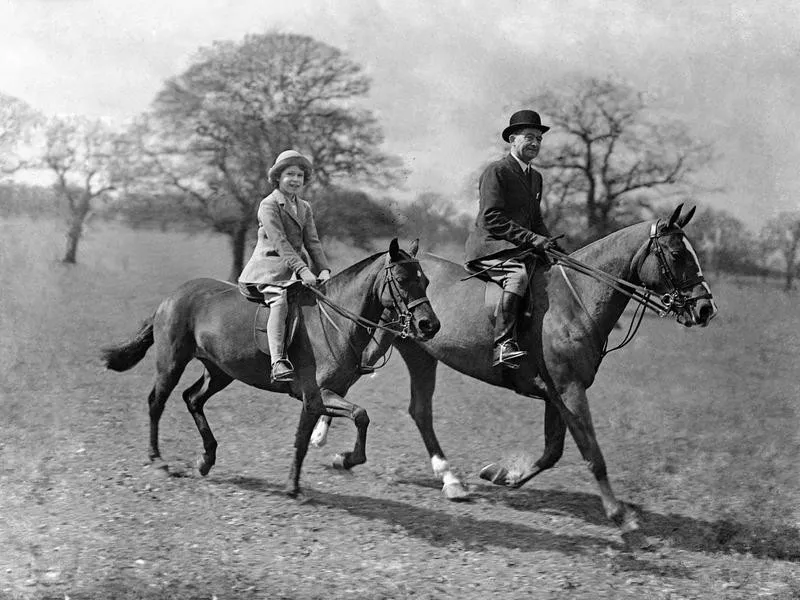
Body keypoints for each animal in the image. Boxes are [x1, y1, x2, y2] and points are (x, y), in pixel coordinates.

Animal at [100, 239, 440, 498]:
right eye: (402, 280)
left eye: (425, 281)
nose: (430, 325)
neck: (335, 322)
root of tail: (170, 298)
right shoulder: (315, 395)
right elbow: (342, 423)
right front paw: (320, 472)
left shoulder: (325, 396)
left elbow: (333, 427)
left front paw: (333, 465)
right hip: (172, 362)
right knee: (157, 402)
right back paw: (158, 460)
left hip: (220, 371)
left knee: (192, 399)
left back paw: (206, 459)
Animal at [310, 205, 718, 532]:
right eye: (677, 253)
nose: (705, 309)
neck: (576, 301)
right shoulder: (569, 390)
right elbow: (591, 451)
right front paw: (620, 514)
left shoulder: (558, 394)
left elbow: (553, 451)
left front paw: (503, 475)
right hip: (383, 342)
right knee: (350, 379)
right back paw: (325, 438)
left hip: (420, 353)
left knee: (417, 409)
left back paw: (447, 479)